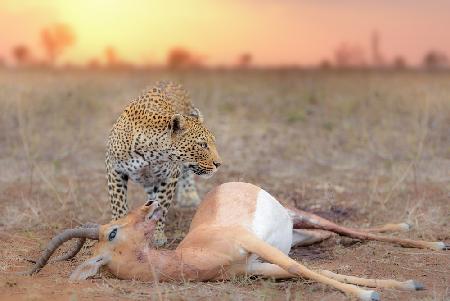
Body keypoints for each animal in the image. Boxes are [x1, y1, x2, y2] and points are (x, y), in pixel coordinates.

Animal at [27, 180, 446, 300]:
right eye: (112, 231)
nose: (148, 204)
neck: (196, 255)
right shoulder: (255, 266)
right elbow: (302, 271)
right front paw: (391, 287)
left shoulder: (252, 245)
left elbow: (301, 269)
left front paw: (384, 289)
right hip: (300, 233)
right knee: (329, 236)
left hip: (299, 214)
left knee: (350, 230)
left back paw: (430, 242)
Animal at [105, 81, 221, 245]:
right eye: (202, 145)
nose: (219, 164)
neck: (150, 154)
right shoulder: (114, 168)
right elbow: (118, 204)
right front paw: (118, 228)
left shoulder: (170, 176)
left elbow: (162, 206)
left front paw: (156, 235)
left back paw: (188, 196)